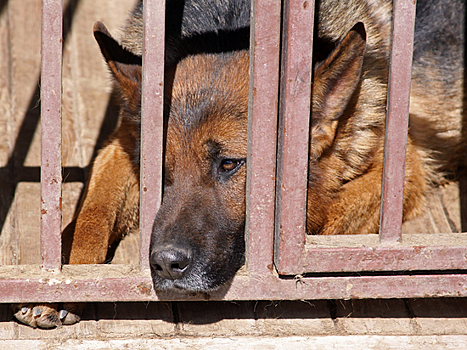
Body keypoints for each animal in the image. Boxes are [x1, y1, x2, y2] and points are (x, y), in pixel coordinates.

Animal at [14, 0, 464, 328]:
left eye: (230, 164)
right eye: (160, 172)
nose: (166, 264)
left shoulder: (401, 168)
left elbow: (337, 224)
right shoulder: (122, 144)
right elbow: (92, 212)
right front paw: (63, 280)